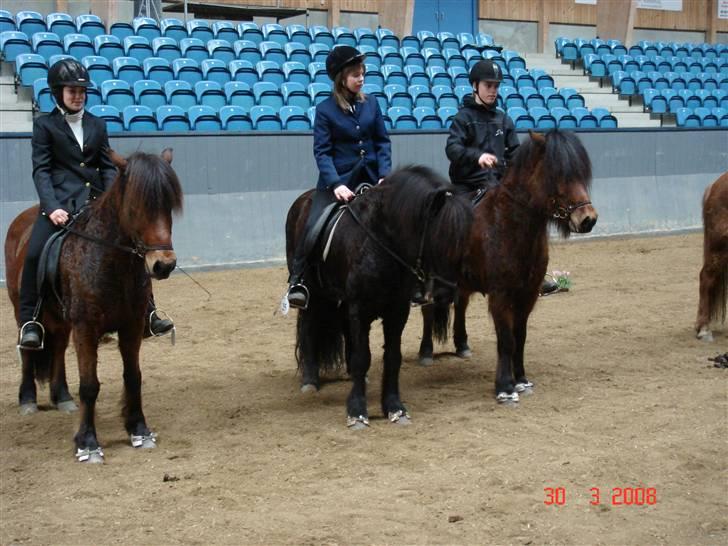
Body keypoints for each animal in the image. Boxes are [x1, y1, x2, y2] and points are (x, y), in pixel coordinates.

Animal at [6, 148, 182, 460]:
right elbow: (89, 385)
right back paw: (27, 399)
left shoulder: (131, 325)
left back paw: (62, 397)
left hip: (62, 320)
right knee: (27, 349)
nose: (163, 265)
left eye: (169, 205)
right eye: (135, 207)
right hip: (21, 310)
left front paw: (139, 430)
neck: (111, 261)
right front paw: (88, 443)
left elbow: (133, 376)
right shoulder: (86, 328)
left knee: (58, 349)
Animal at [284, 165, 472, 424]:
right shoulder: (359, 308)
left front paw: (395, 408)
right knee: (309, 326)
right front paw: (357, 411)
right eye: (439, 235)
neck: (380, 241)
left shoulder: (396, 311)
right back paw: (310, 380)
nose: (448, 292)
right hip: (315, 293)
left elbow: (392, 357)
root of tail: (303, 199)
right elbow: (362, 357)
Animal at [420, 130, 596, 402]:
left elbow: (519, 337)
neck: (507, 225)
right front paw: (505, 386)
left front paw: (521, 379)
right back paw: (426, 352)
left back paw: (462, 345)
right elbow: (506, 340)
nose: (588, 219)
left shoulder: (528, 294)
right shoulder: (501, 295)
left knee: (461, 305)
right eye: (557, 174)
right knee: (428, 311)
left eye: (580, 172)